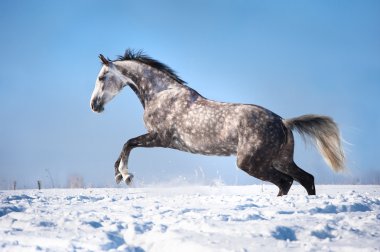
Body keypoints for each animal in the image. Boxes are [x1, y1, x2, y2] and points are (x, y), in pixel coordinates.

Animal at [90, 48, 346, 195]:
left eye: (102, 77)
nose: (94, 106)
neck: (161, 94)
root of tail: (284, 122)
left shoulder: (160, 138)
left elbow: (128, 143)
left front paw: (126, 175)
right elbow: (123, 148)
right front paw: (118, 175)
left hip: (251, 163)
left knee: (286, 182)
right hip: (280, 159)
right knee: (305, 179)